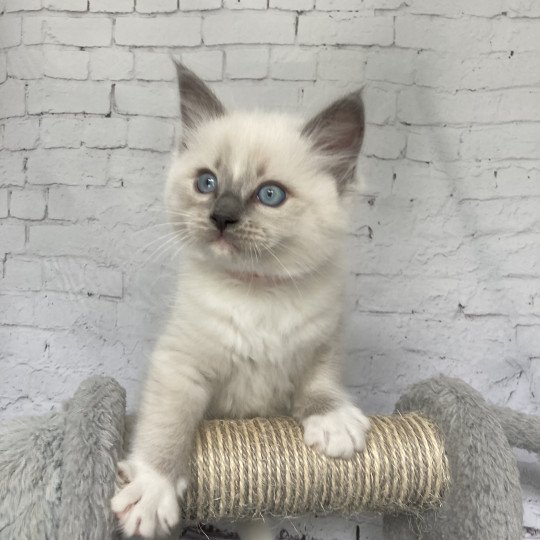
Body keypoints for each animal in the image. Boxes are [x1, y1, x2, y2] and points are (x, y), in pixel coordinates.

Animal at [111, 64, 370, 540]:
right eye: (206, 183)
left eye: (270, 195)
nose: (222, 217)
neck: (257, 291)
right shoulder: (181, 366)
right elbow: (166, 429)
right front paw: (152, 491)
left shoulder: (323, 342)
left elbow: (320, 382)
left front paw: (333, 422)